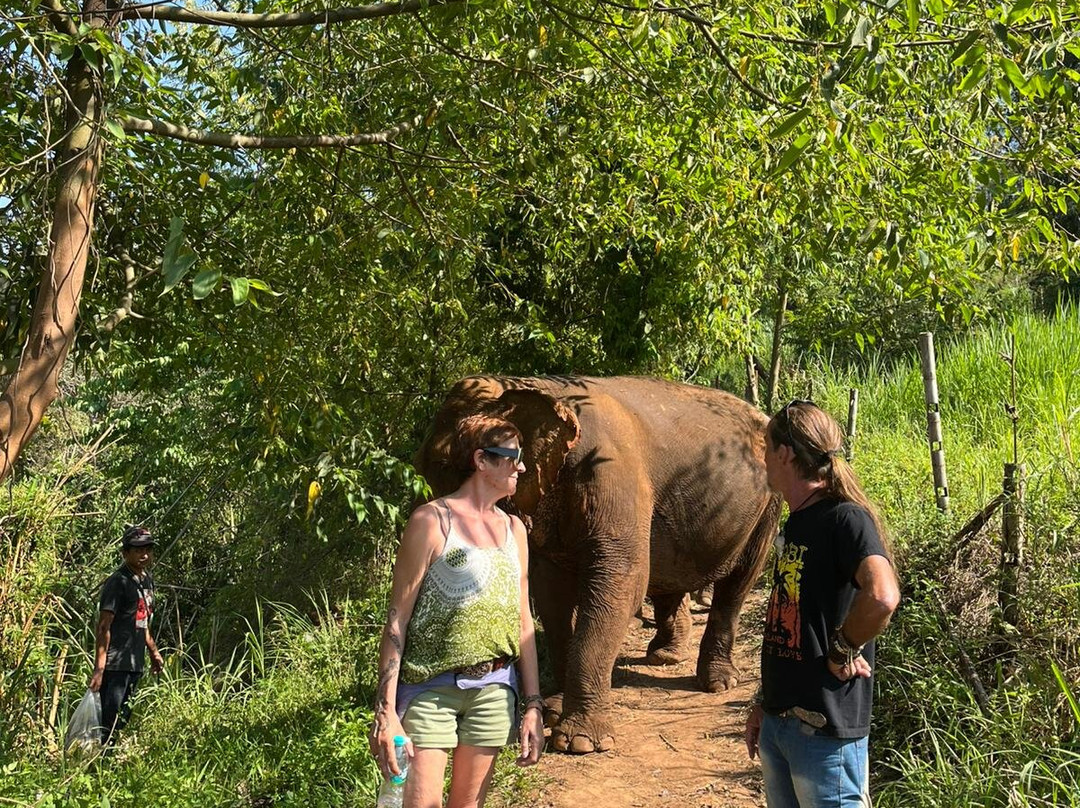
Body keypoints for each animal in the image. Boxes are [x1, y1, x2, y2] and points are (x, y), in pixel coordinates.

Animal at [413, 375, 781, 754]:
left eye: (451, 468)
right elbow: (552, 594)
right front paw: (553, 710)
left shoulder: (610, 474)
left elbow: (623, 580)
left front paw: (578, 742)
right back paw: (665, 656)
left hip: (768, 504)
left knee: (737, 583)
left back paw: (717, 682)